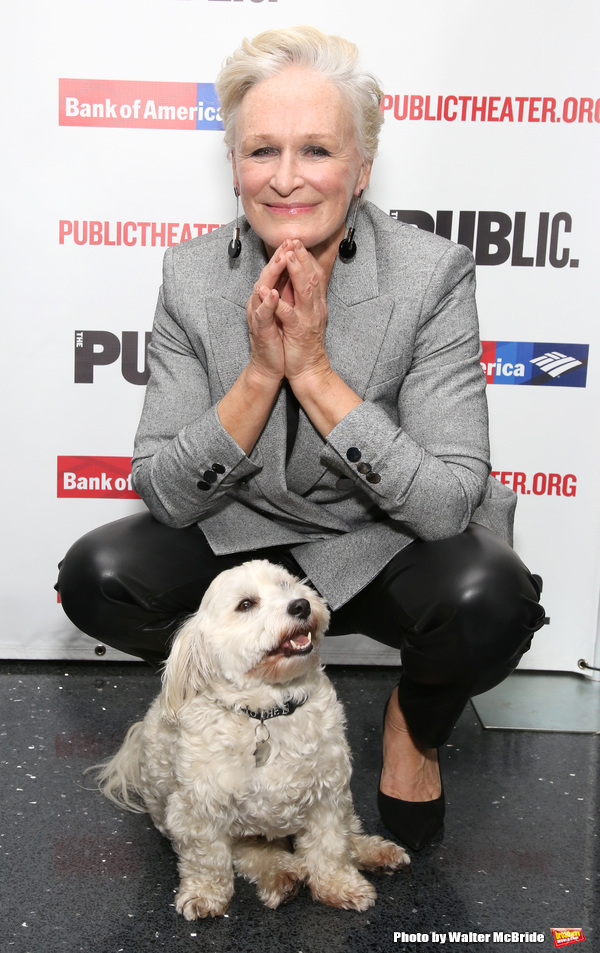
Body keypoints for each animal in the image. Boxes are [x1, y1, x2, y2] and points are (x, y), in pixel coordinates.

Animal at [94, 556, 410, 916]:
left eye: (287, 585)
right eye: (246, 604)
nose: (301, 605)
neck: (267, 711)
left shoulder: (328, 795)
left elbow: (330, 846)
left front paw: (339, 885)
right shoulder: (197, 808)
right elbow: (208, 859)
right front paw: (205, 893)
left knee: (347, 830)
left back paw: (373, 852)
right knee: (253, 853)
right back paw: (282, 877)